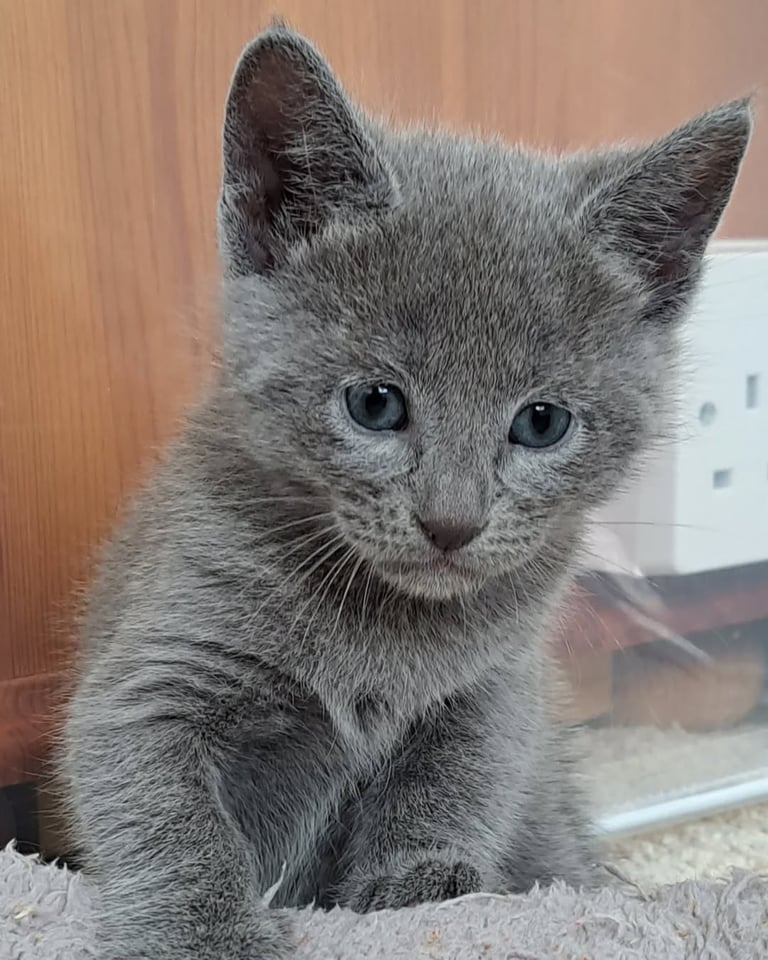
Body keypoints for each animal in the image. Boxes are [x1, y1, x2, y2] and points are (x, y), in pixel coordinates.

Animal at [61, 23, 751, 960]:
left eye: (542, 422)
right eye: (375, 404)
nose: (451, 521)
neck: (386, 630)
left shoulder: (495, 688)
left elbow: (460, 778)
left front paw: (422, 892)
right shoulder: (156, 678)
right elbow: (168, 817)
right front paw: (213, 939)